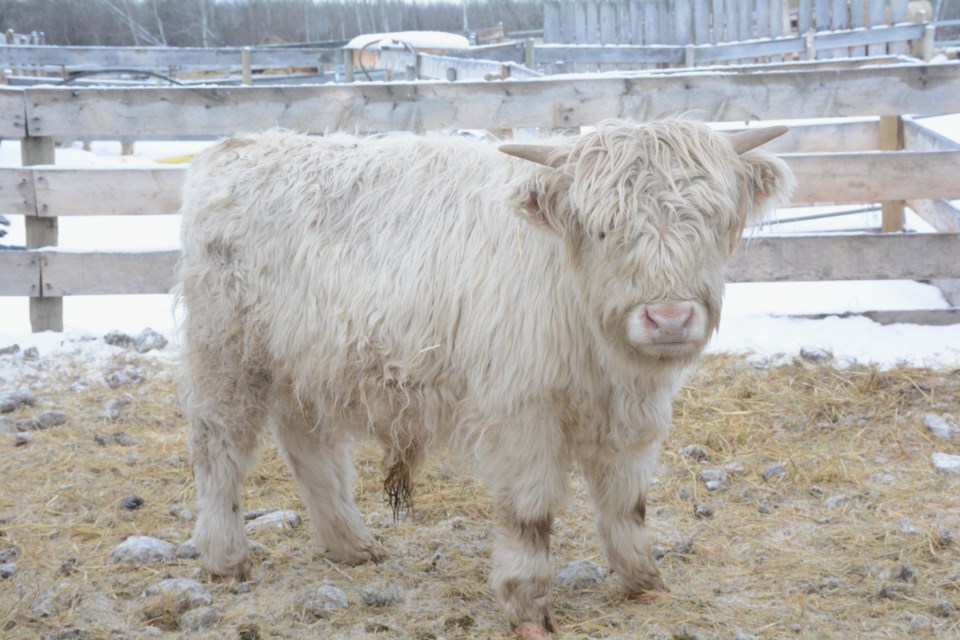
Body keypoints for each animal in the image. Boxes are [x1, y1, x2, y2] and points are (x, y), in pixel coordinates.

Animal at [180, 119, 796, 636]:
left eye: (712, 222)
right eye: (603, 231)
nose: (668, 318)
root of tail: (240, 146)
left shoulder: (631, 418)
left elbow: (627, 503)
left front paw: (644, 581)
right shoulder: (521, 415)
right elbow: (530, 514)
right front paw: (528, 607)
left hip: (306, 367)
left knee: (309, 447)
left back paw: (351, 546)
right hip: (225, 359)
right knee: (220, 449)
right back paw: (226, 558)